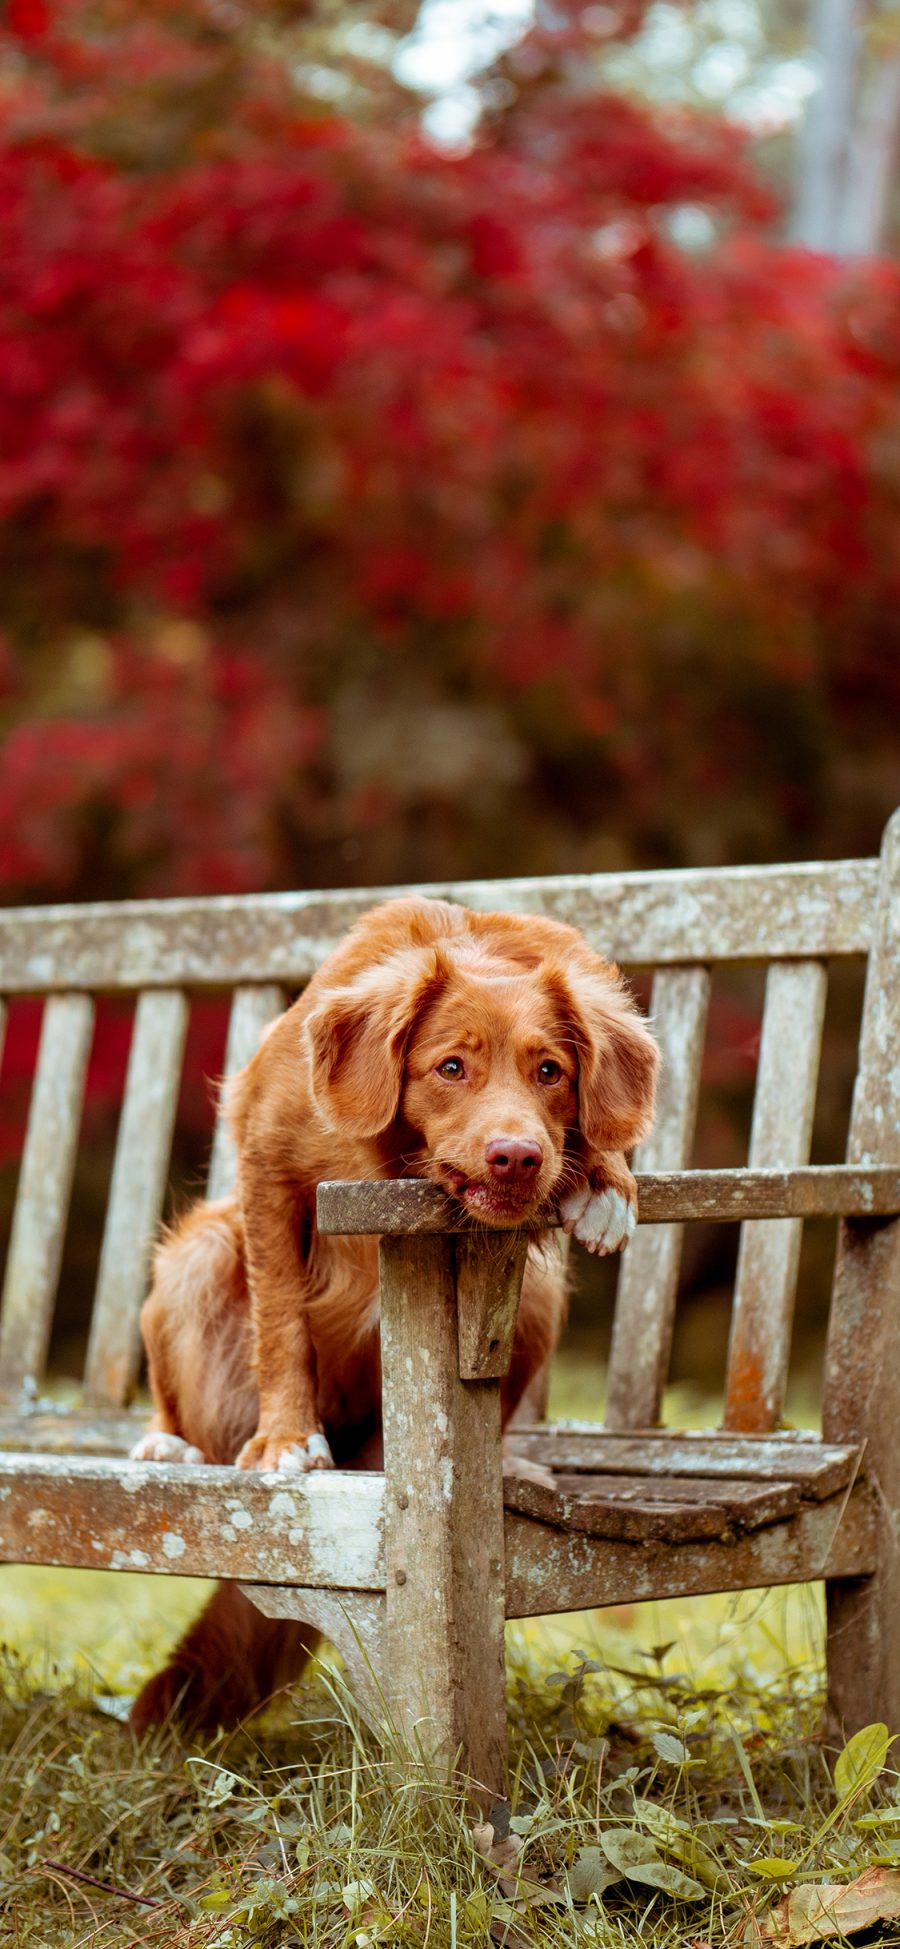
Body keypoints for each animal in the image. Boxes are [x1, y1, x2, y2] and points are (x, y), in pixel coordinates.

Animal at [130, 892, 658, 1730]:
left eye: (551, 1070)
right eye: (451, 1066)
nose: (517, 1156)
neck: (397, 1158)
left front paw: (607, 1181)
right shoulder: (267, 1162)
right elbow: (281, 1324)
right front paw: (287, 1437)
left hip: (537, 1295)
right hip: (198, 1253)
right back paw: (169, 1445)